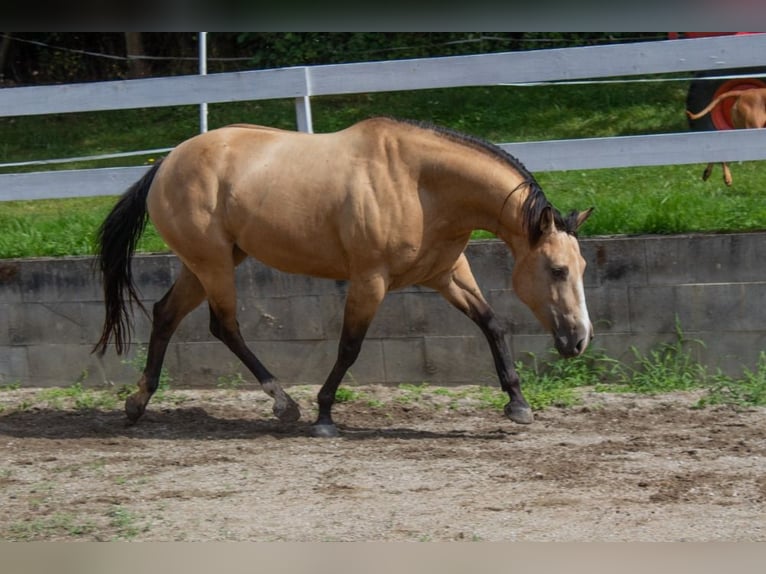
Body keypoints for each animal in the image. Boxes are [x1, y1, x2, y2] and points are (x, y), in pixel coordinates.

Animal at [93, 118, 596, 440]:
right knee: (224, 325)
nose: (578, 340)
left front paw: (518, 405)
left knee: (166, 314)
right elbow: (349, 347)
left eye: (583, 268)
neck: (420, 184)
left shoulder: (447, 274)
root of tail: (165, 164)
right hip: (213, 263)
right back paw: (284, 405)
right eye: (557, 269)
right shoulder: (369, 280)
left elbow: (493, 324)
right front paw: (324, 415)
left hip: (207, 263)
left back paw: (137, 404)